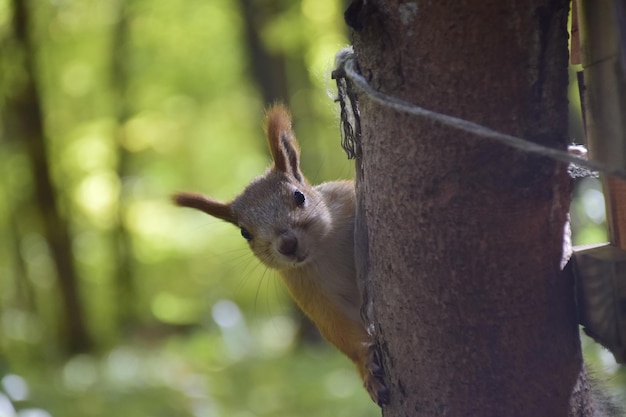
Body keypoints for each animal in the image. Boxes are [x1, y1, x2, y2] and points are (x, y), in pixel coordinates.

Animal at [171, 103, 386, 404]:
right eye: (244, 233)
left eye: (299, 196)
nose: (287, 244)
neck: (324, 249)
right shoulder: (309, 290)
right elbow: (337, 327)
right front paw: (366, 366)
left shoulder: (345, 199)